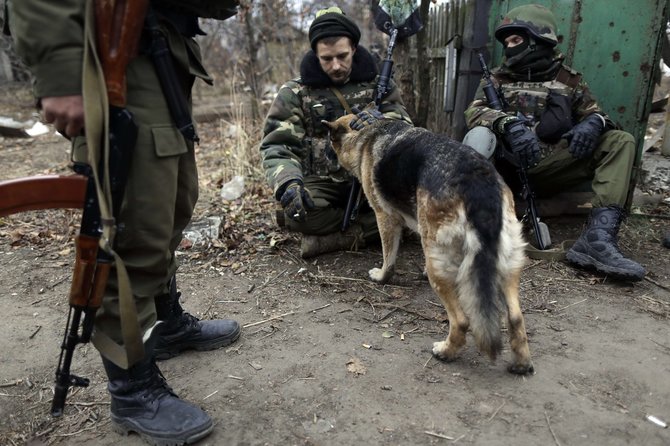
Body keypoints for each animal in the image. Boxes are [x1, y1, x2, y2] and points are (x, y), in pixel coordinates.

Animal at [324, 113, 536, 374]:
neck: (367, 132)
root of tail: (476, 181)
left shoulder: (385, 218)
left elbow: (389, 257)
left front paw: (381, 276)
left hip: (440, 265)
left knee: (461, 320)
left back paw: (445, 351)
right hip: (507, 265)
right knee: (515, 317)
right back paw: (521, 364)